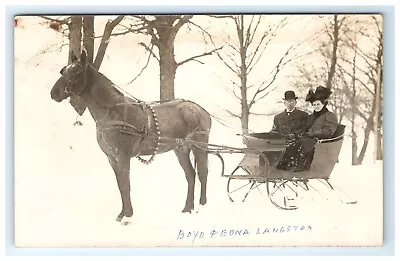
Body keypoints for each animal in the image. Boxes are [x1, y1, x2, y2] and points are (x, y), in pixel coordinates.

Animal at [50, 49, 212, 223]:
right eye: (64, 70)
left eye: (76, 71)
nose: (54, 93)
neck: (114, 112)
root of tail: (200, 110)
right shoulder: (112, 158)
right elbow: (120, 185)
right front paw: (123, 214)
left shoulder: (123, 156)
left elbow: (126, 185)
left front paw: (127, 215)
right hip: (181, 149)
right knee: (190, 175)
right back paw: (188, 208)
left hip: (199, 146)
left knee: (203, 173)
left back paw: (202, 205)